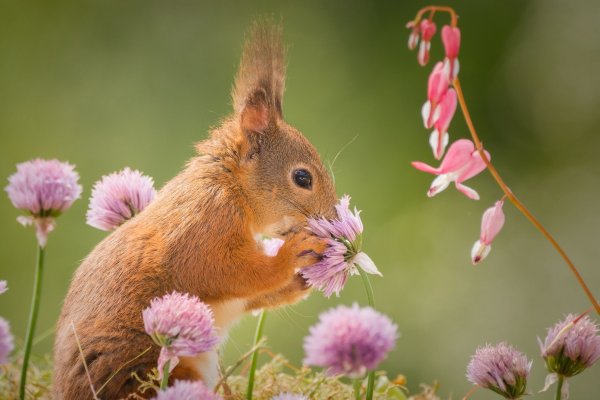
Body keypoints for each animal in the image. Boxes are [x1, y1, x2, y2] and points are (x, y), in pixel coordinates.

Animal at [52, 19, 338, 400]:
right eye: (302, 177)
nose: (334, 222)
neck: (232, 189)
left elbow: (251, 295)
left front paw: (300, 281)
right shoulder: (203, 226)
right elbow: (226, 271)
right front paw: (292, 255)